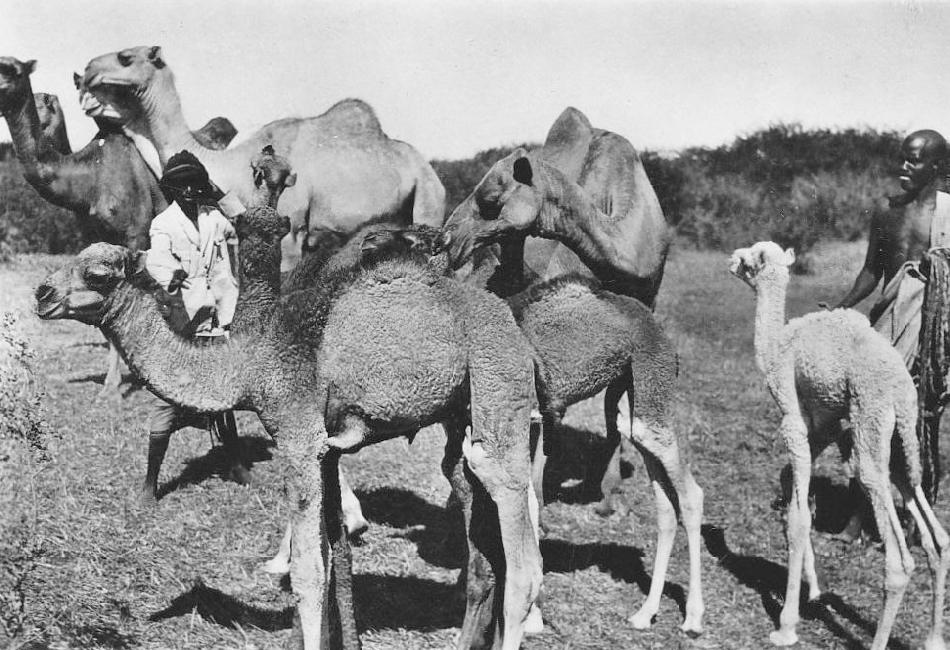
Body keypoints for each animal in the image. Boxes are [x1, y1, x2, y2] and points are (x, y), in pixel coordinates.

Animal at [35, 238, 544, 648]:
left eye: (98, 274)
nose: (42, 294)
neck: (250, 363)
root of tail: (510, 321)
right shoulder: (325, 449)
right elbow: (333, 556)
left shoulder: (298, 436)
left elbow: (308, 573)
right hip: (460, 413)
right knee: (473, 516)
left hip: (498, 376)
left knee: (519, 544)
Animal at [82, 45, 450, 268]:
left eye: (125, 57)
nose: (84, 72)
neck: (230, 167)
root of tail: (428, 169)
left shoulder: (291, 228)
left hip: (429, 199)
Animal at [732, 240, 948, 648]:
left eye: (749, 256)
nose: (731, 260)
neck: (776, 345)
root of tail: (902, 389)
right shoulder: (826, 425)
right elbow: (793, 497)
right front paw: (814, 591)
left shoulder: (793, 417)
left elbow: (800, 518)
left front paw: (786, 625)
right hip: (900, 444)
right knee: (936, 536)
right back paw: (934, 638)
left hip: (870, 427)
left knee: (898, 558)